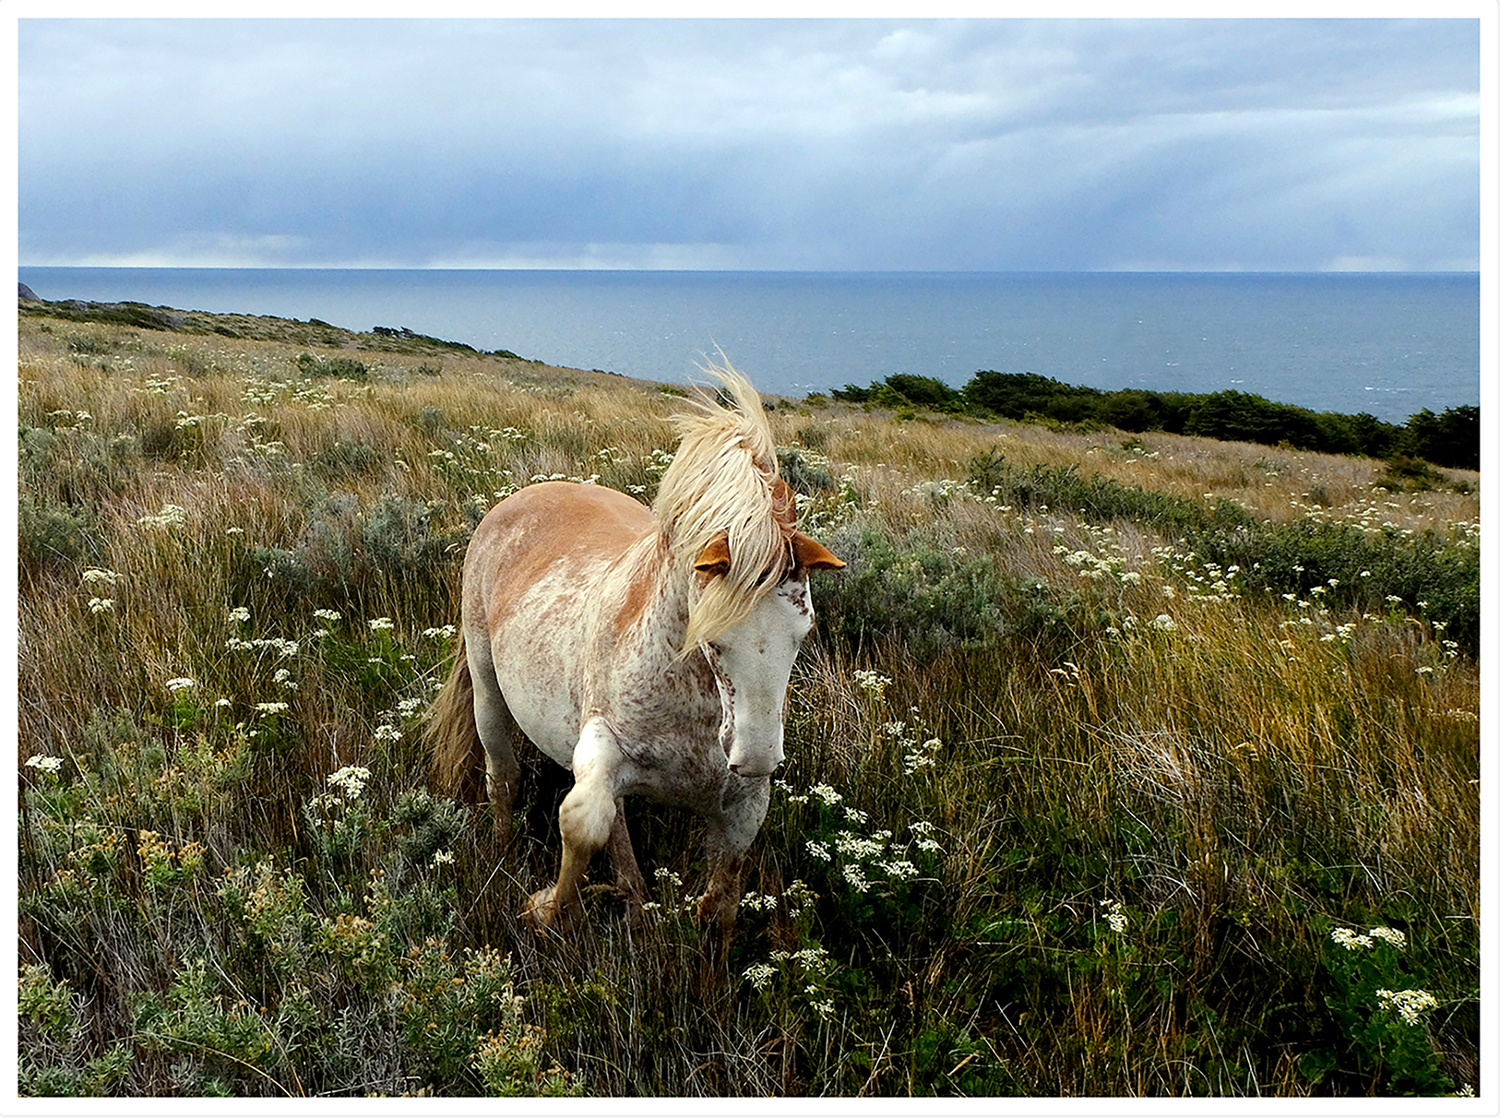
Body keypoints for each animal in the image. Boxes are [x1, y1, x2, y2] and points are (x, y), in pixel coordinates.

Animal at [426, 369, 846, 930]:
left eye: (805, 632)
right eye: (712, 638)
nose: (756, 758)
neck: (688, 702)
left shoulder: (743, 807)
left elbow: (720, 901)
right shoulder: (601, 746)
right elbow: (581, 823)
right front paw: (546, 908)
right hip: (487, 689)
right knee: (504, 778)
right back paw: (503, 855)